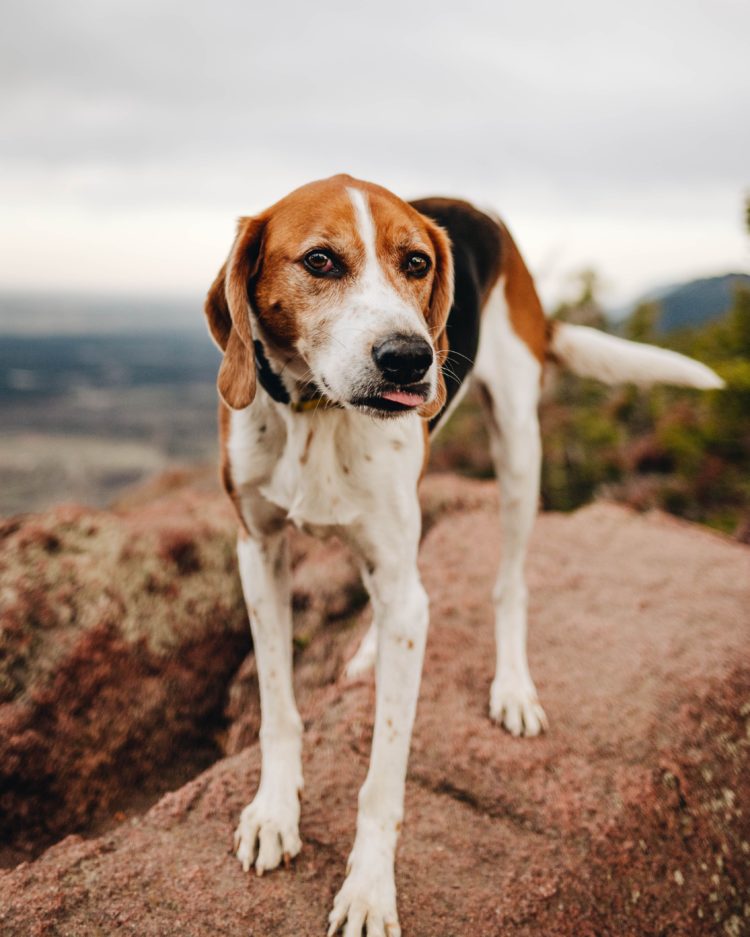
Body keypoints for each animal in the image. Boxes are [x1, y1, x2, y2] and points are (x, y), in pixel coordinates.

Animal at [203, 172, 724, 932]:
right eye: (320, 261)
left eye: (416, 263)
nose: (410, 358)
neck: (320, 413)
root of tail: (478, 209)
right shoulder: (258, 551)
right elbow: (278, 706)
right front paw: (274, 811)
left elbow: (383, 776)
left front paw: (369, 889)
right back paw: (371, 652)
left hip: (520, 449)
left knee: (507, 584)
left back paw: (512, 688)